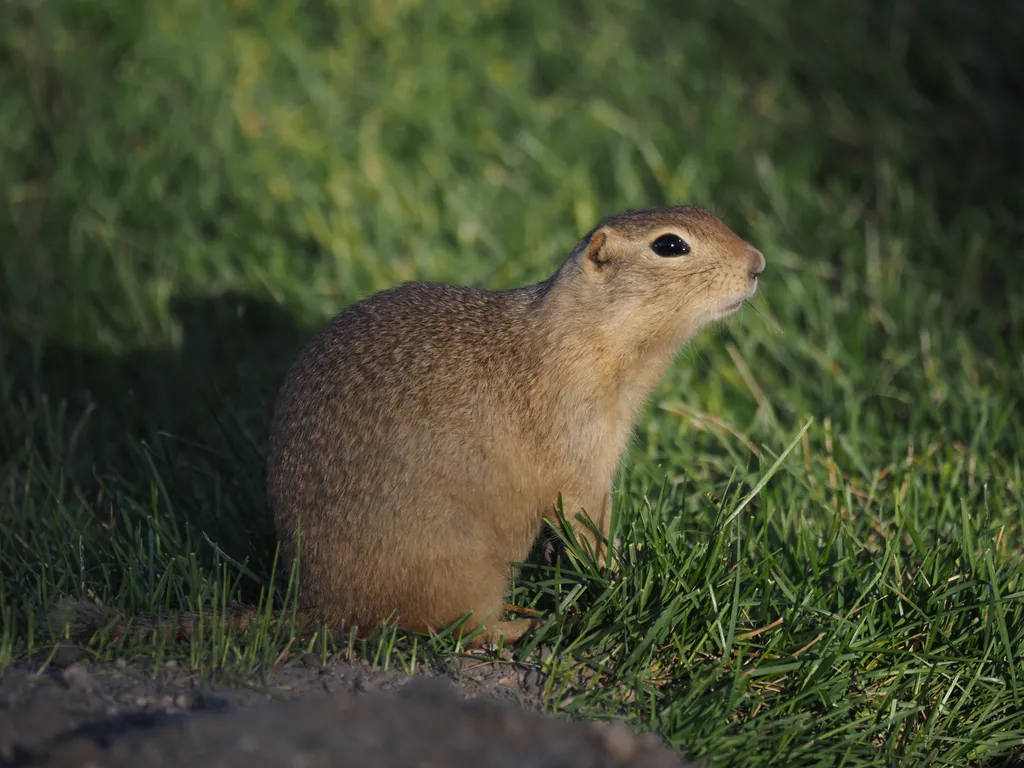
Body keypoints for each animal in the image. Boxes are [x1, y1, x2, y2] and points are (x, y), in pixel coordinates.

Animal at [52, 205, 765, 650]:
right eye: (670, 244)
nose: (758, 262)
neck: (589, 339)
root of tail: (325, 608)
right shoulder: (581, 446)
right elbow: (586, 521)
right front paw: (619, 580)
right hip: (464, 569)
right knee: (449, 630)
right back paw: (519, 626)